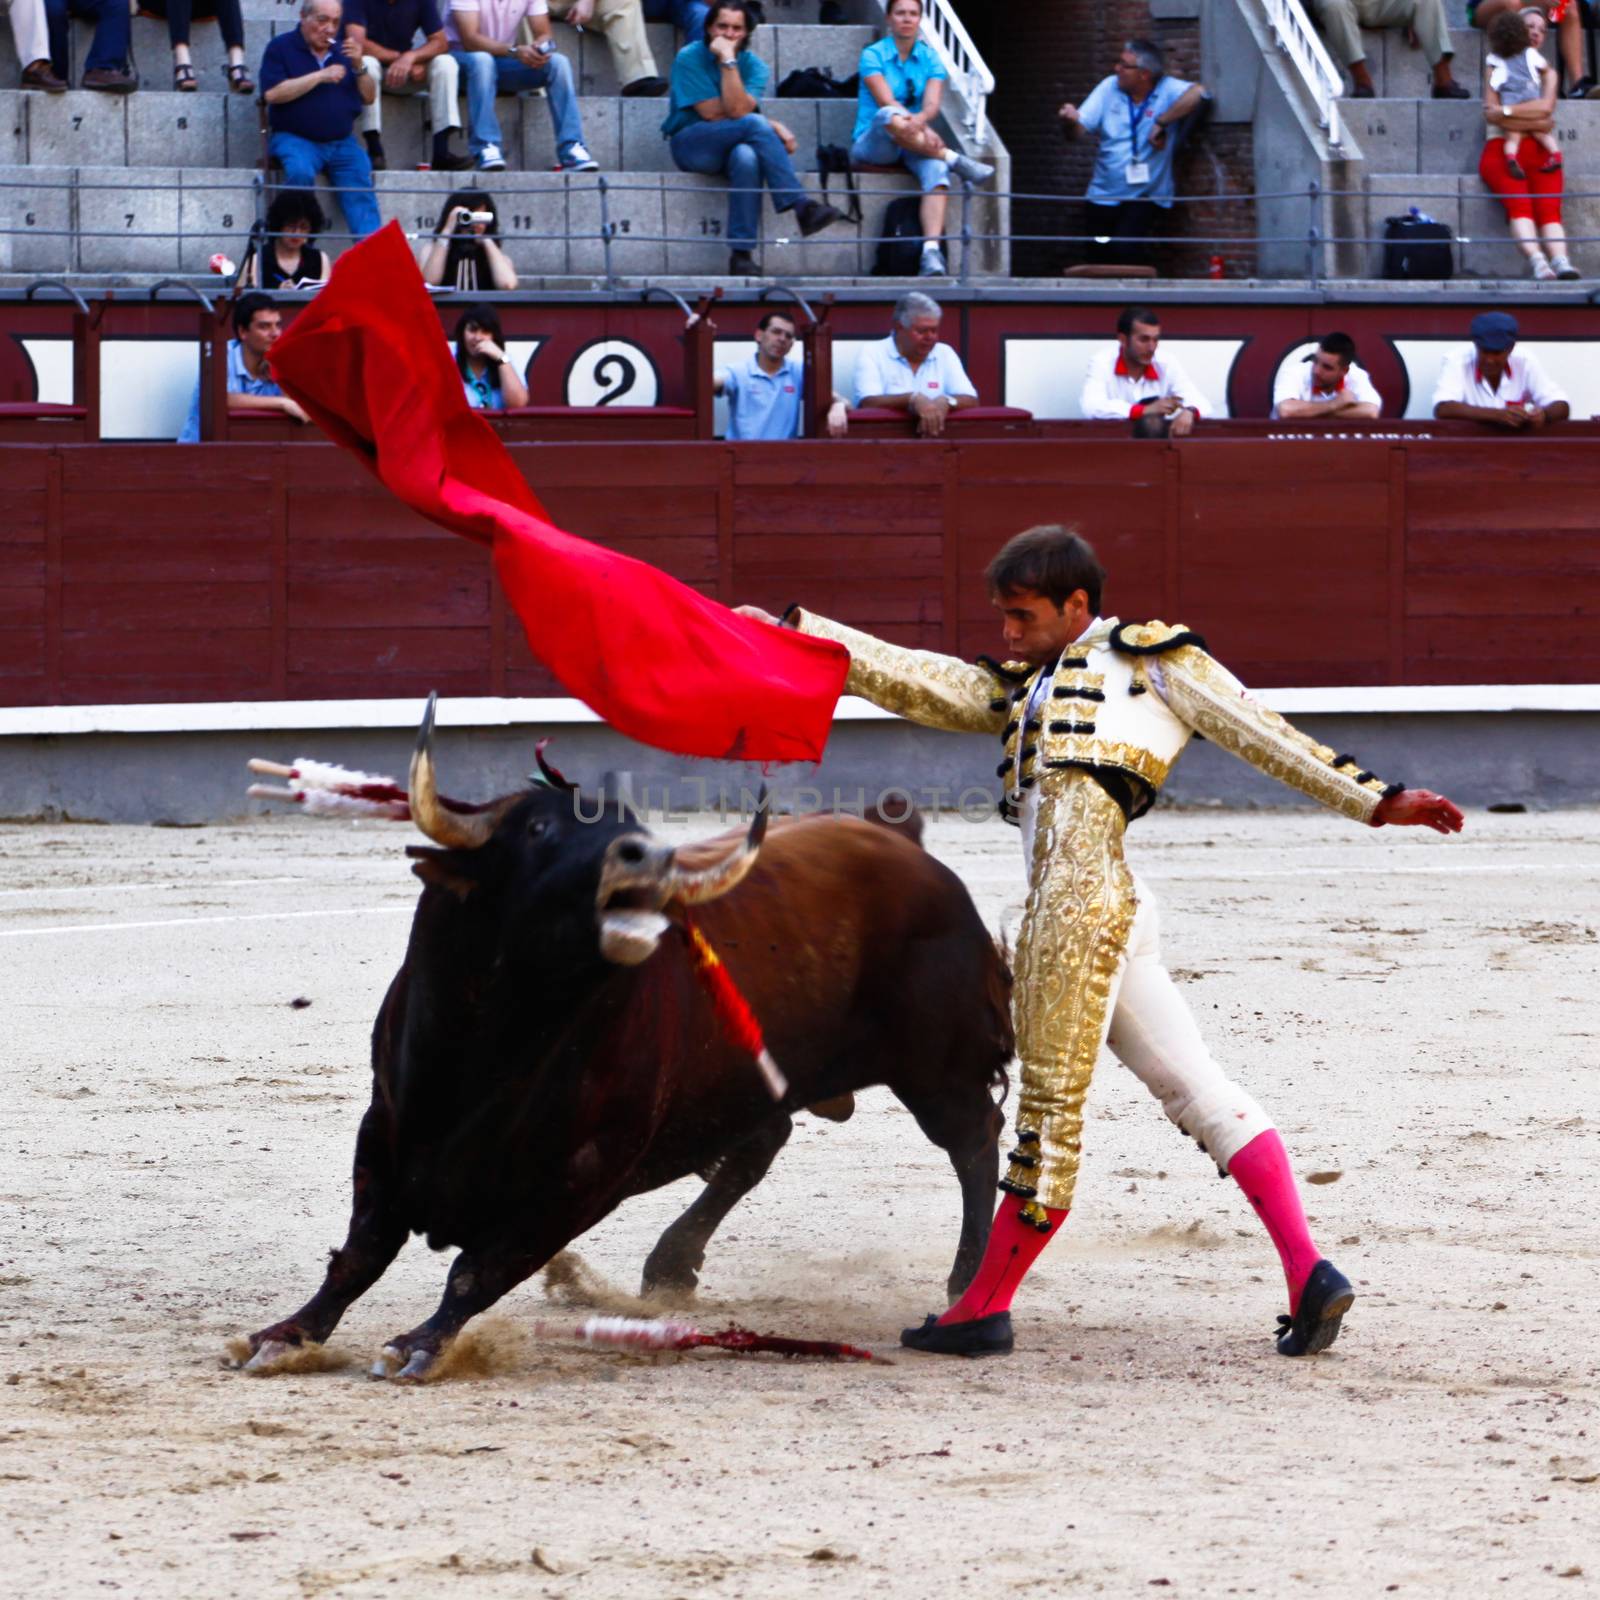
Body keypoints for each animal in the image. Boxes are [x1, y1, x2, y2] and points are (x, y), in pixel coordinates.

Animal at [236, 697, 1011, 1376]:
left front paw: (419, 1345)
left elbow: (479, 1267)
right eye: (540, 830)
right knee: (765, 1141)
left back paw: (966, 1291)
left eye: (631, 823)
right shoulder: (388, 1125)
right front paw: (285, 1335)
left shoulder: (590, 1171)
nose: (649, 859)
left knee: (974, 1141)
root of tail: (898, 837)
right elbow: (363, 1250)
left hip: (937, 1067)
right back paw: (671, 1267)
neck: (491, 1049)